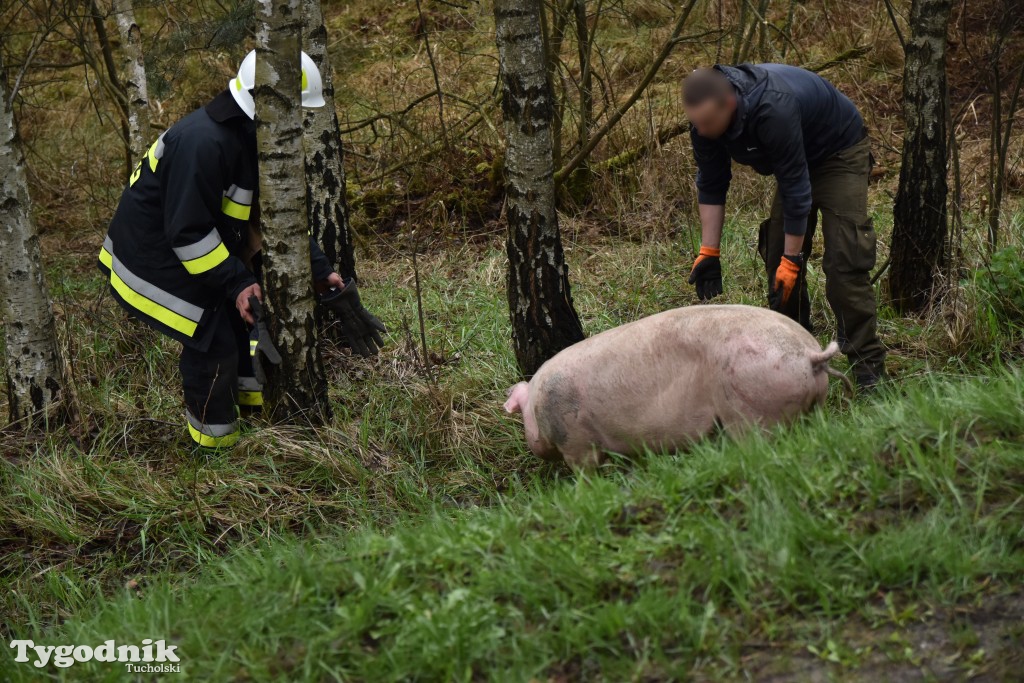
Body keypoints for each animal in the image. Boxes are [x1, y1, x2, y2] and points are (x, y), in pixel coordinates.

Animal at [503, 305, 847, 471]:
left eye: (522, 418)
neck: (537, 404)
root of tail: (811, 354)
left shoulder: (576, 442)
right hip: (814, 406)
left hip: (753, 410)